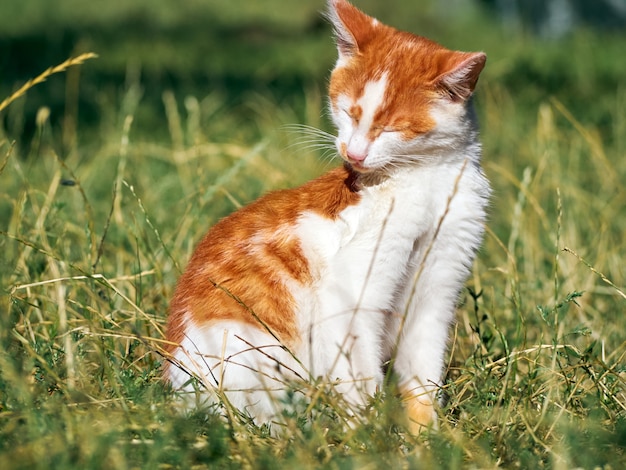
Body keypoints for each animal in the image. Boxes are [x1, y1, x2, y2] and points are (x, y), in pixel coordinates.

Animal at [165, 0, 488, 434]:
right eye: (348, 113)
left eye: (391, 128)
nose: (353, 153)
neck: (426, 183)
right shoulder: (350, 294)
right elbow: (362, 379)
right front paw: (371, 438)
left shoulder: (437, 289)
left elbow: (422, 379)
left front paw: (426, 438)